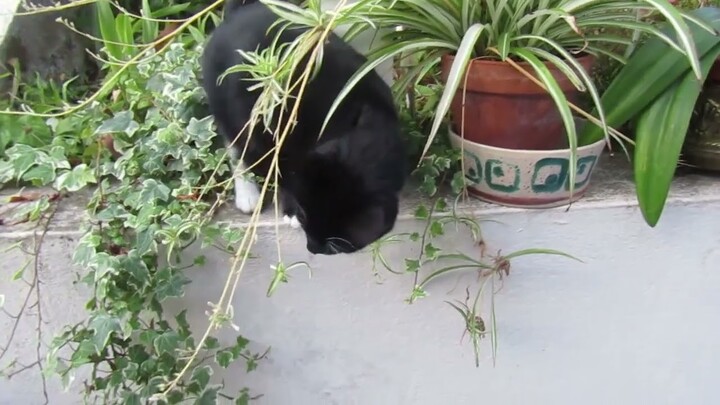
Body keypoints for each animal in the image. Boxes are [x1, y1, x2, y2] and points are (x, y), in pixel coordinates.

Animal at [200, 0, 408, 254]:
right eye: (304, 216)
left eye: (332, 247)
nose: (311, 248)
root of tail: (243, 10)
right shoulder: (282, 144)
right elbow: (284, 174)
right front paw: (289, 209)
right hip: (231, 107)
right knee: (236, 146)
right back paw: (247, 194)